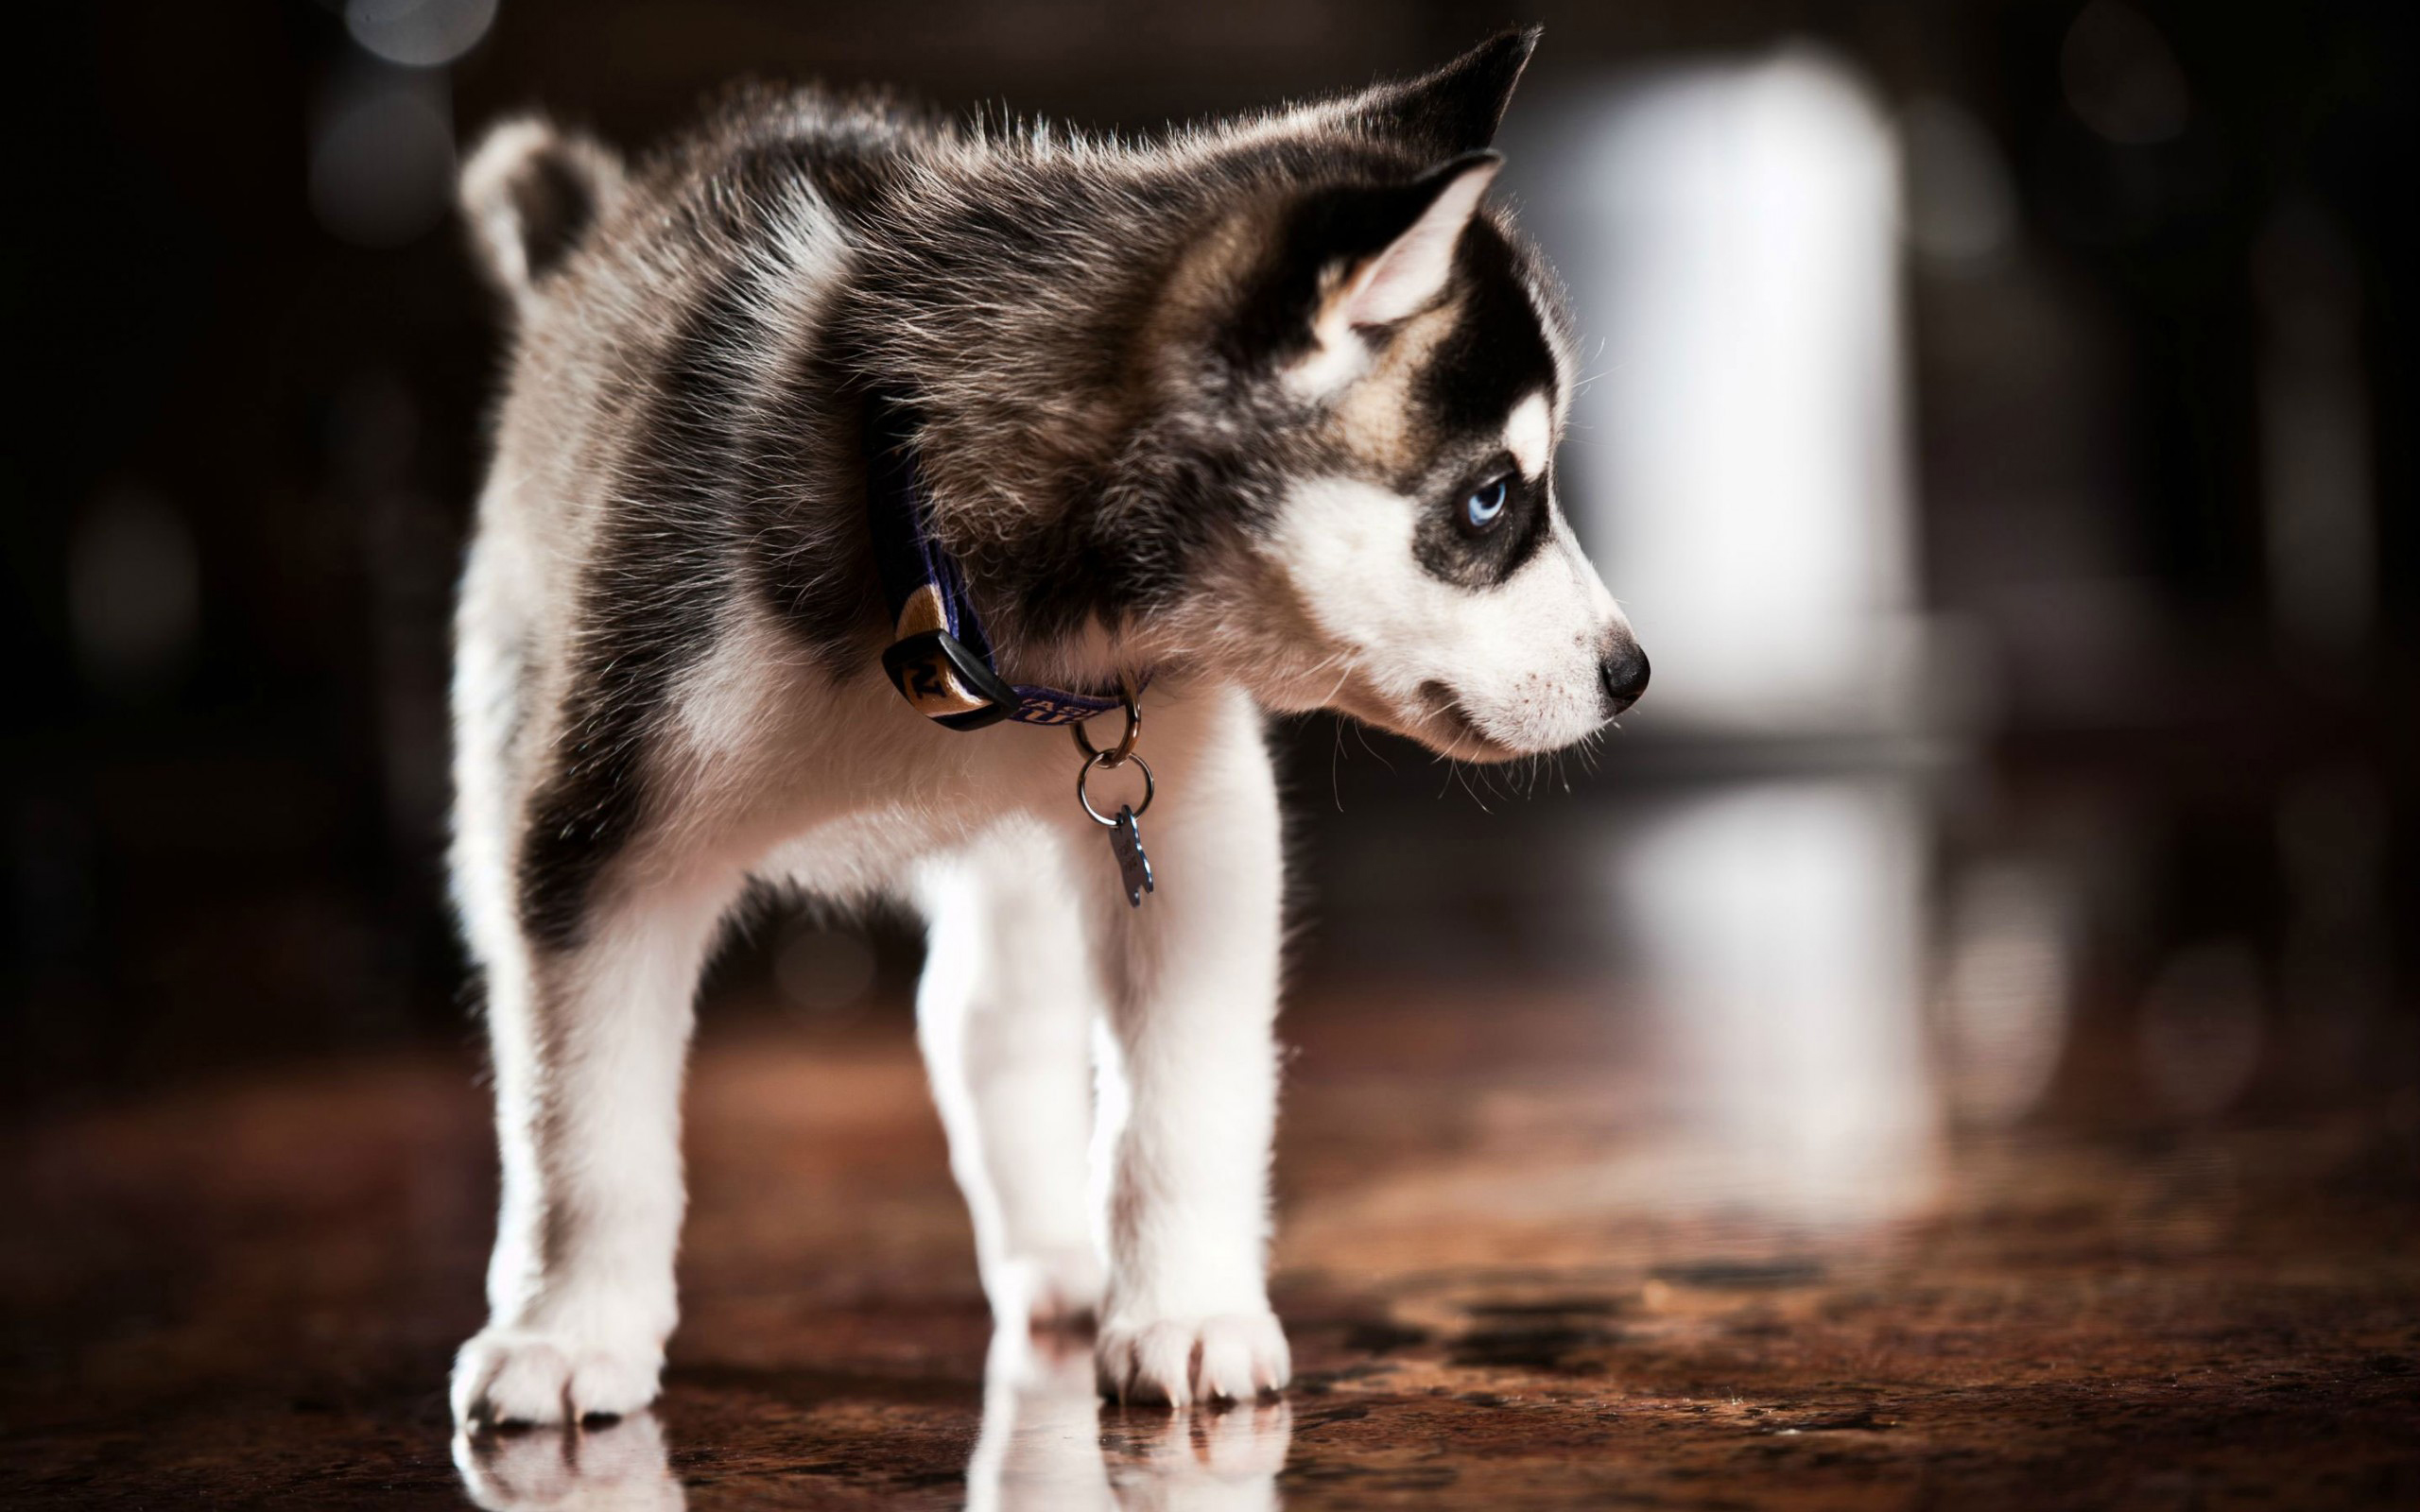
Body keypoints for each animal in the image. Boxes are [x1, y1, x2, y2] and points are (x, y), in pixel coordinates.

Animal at [445, 29, 1645, 1422]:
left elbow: (1186, 1102)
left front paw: (1186, 1311)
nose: (1632, 673)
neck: (951, 586)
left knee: (991, 1029)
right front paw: (569, 1330)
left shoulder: (1192, 827)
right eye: (1489, 498)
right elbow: (583, 1123)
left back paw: (1066, 1261)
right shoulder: (604, 833)